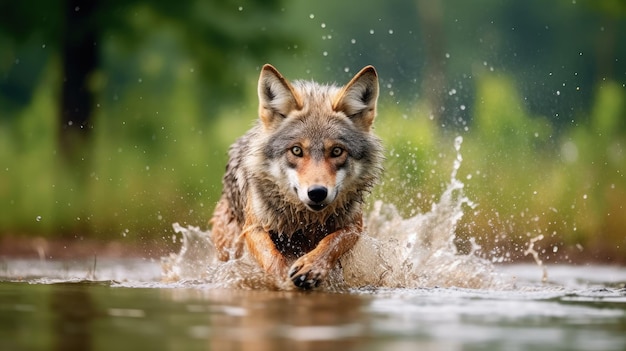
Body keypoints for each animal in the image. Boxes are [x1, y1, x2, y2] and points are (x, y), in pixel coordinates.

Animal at [210, 64, 382, 288]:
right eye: (297, 150)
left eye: (337, 151)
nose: (317, 193)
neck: (305, 220)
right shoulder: (254, 227)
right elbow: (272, 256)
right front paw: (283, 278)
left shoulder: (353, 226)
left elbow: (332, 241)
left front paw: (311, 266)